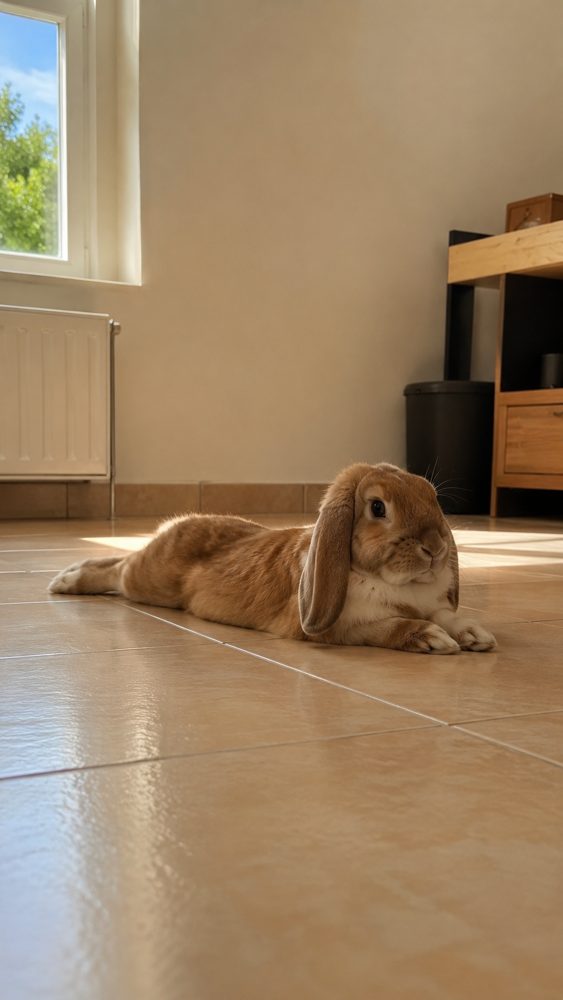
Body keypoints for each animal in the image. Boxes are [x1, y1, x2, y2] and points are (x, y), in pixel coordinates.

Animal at [48, 462, 496, 654]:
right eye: (378, 508)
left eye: (431, 497)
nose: (435, 548)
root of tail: (178, 523)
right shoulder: (337, 628)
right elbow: (390, 626)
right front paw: (433, 639)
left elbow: (447, 615)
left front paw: (475, 634)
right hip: (150, 581)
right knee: (118, 569)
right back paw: (65, 580)